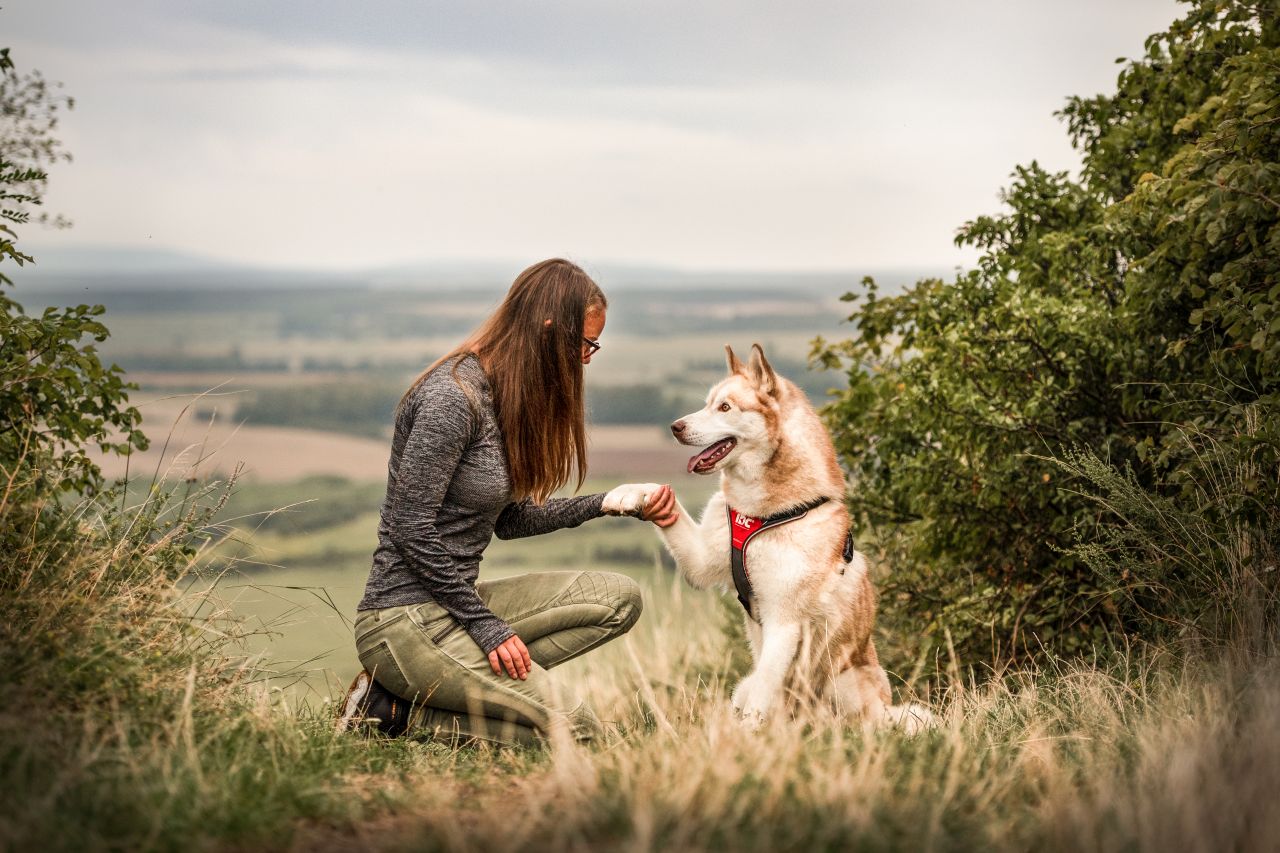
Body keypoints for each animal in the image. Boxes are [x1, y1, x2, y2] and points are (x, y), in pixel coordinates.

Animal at [611, 343, 931, 727]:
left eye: (725, 407)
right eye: (707, 403)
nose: (675, 427)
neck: (765, 514)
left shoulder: (784, 622)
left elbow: (765, 689)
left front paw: (747, 734)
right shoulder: (702, 561)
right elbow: (662, 499)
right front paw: (630, 495)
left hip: (842, 683)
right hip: (747, 685)